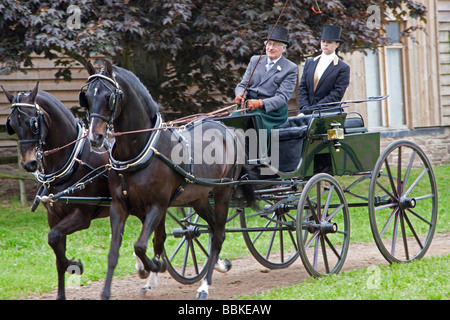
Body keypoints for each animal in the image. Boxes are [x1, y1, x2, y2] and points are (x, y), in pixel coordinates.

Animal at [1, 82, 110, 300]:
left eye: (34, 123)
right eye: (12, 125)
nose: (29, 164)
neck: (74, 158)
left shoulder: (82, 216)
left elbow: (53, 238)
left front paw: (76, 265)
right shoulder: (54, 216)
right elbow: (57, 250)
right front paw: (64, 285)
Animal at [81, 60, 255, 300]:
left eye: (109, 97)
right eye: (87, 97)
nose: (95, 138)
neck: (140, 150)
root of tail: (227, 129)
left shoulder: (157, 204)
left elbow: (142, 245)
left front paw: (155, 266)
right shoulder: (120, 205)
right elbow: (118, 250)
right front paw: (108, 291)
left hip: (223, 192)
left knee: (219, 233)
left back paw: (204, 286)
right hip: (198, 197)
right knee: (211, 228)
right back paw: (220, 265)